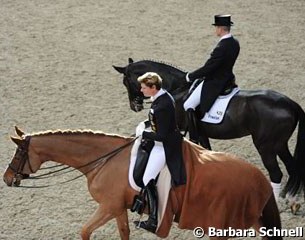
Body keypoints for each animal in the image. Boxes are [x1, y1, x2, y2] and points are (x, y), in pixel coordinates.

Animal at [3, 126, 282, 239]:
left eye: (18, 153)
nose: (6, 178)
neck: (103, 160)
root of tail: (260, 178)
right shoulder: (117, 208)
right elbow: (123, 232)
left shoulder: (108, 206)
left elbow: (84, 231)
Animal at [113, 58, 304, 199]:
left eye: (126, 81)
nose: (135, 106)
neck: (177, 90)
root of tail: (290, 103)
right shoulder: (200, 134)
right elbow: (206, 151)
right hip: (279, 144)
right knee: (292, 166)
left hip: (265, 146)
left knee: (276, 173)